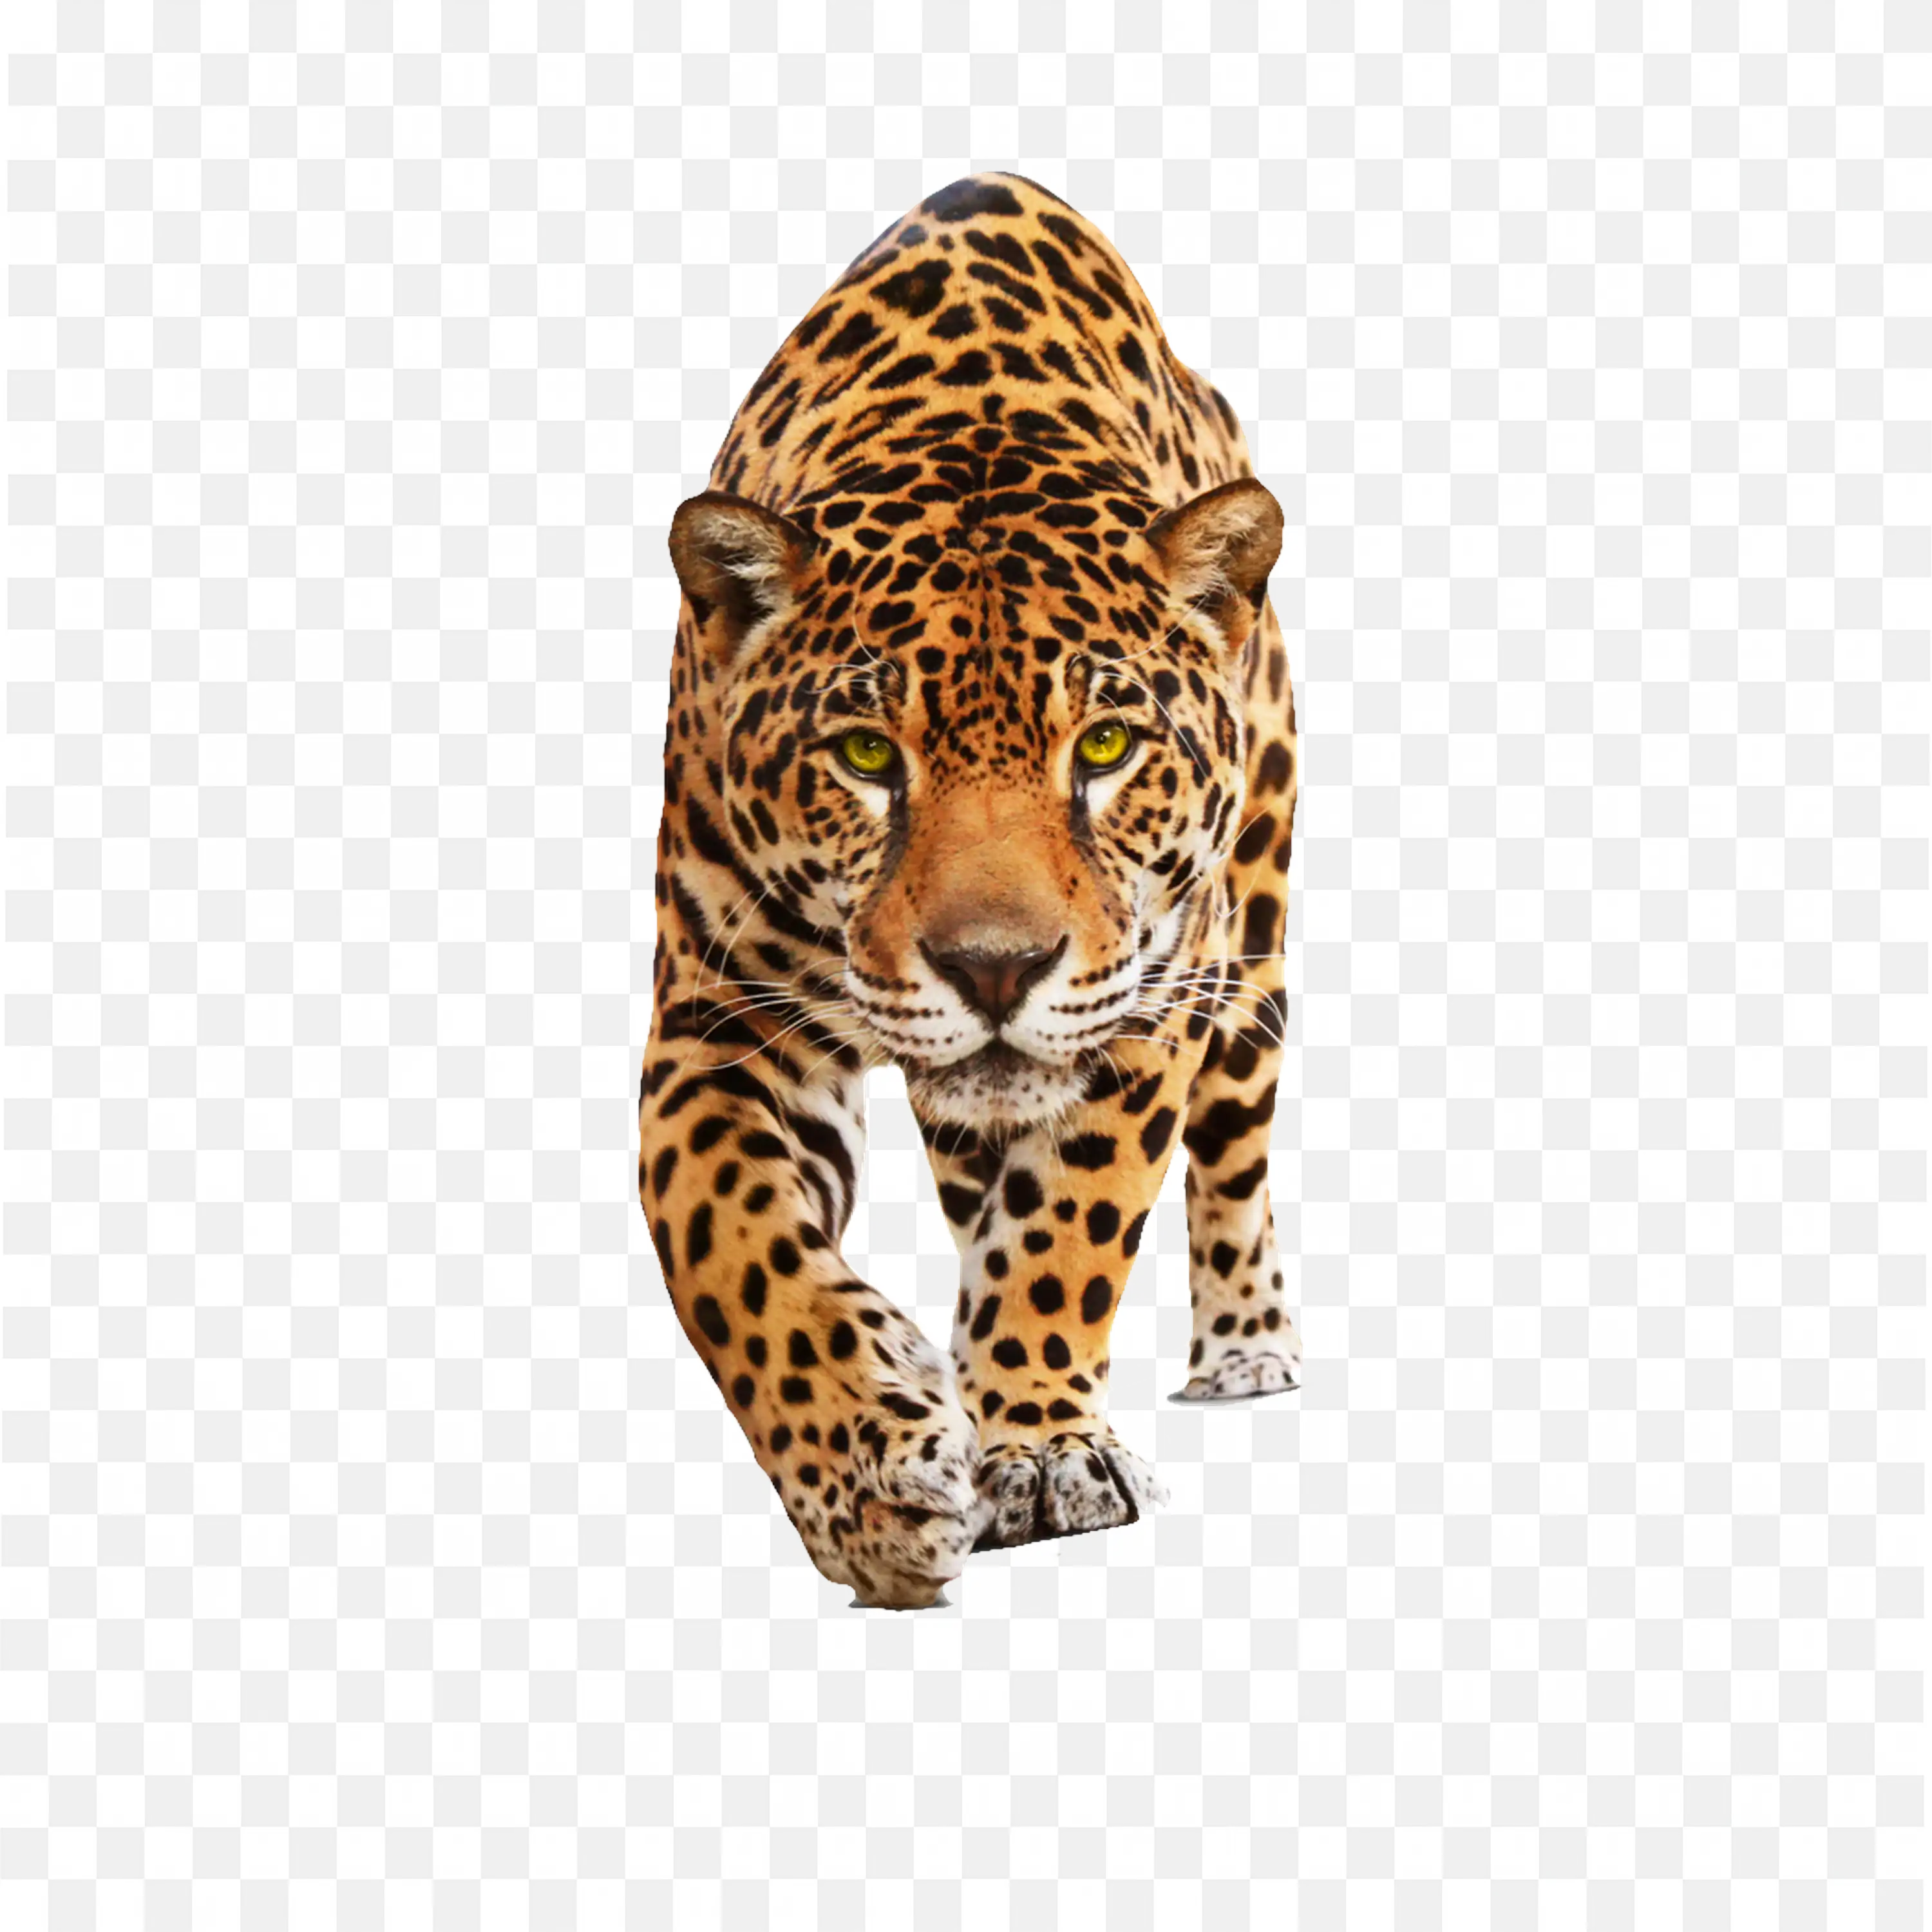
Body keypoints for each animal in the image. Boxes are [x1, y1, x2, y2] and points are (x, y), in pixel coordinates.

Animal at [637, 174, 1302, 1608]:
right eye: (865, 755)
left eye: (1103, 748)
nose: (995, 969)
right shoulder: (718, 1023)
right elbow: (731, 1248)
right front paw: (872, 1479)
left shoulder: (1147, 996)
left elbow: (1070, 1225)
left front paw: (1041, 1449)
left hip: (1256, 941)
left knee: (1232, 1150)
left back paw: (1245, 1345)